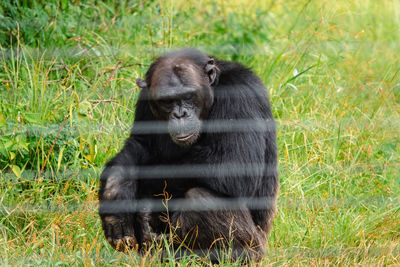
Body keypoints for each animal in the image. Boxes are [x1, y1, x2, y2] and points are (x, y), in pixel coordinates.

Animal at [99, 47, 278, 262]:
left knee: (200, 199)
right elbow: (139, 144)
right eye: (167, 101)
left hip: (256, 246)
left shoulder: (241, 95)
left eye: (189, 95)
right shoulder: (145, 100)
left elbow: (235, 164)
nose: (180, 114)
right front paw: (116, 192)